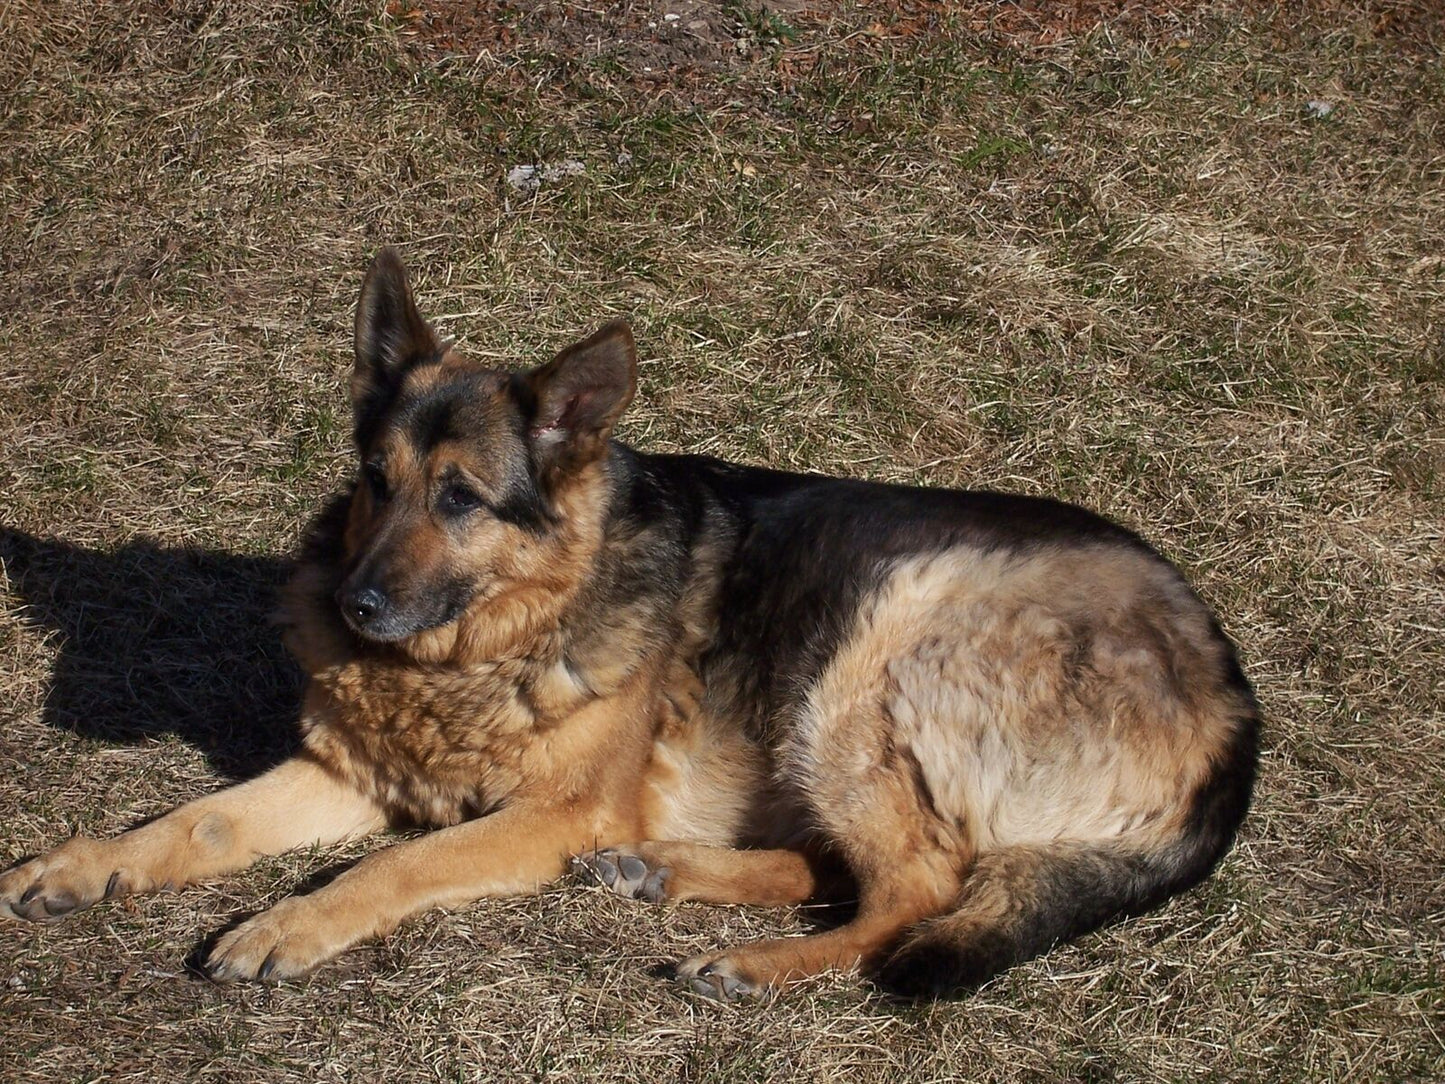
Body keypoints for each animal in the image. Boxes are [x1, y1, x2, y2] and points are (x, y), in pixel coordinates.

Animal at [0, 250, 1260, 1000]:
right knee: (837, 865)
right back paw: (665, 868)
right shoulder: (350, 772)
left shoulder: (540, 814)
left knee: (918, 890)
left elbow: (398, 862)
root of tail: (1233, 702)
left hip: (866, 662)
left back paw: (751, 961)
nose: (352, 607)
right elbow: (198, 819)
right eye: (376, 479)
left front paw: (292, 922)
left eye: (459, 498)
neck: (498, 638)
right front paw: (90, 862)